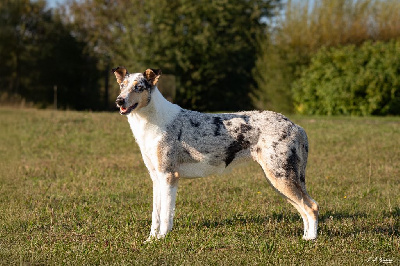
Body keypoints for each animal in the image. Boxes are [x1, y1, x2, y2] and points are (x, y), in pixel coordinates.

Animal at [112, 67, 318, 242]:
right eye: (122, 86)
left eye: (138, 87)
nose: (119, 101)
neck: (151, 121)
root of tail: (296, 126)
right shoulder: (156, 177)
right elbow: (156, 214)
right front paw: (151, 240)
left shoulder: (169, 176)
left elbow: (165, 215)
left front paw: (162, 239)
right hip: (279, 179)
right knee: (304, 208)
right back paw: (305, 237)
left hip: (280, 176)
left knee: (311, 207)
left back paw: (311, 240)